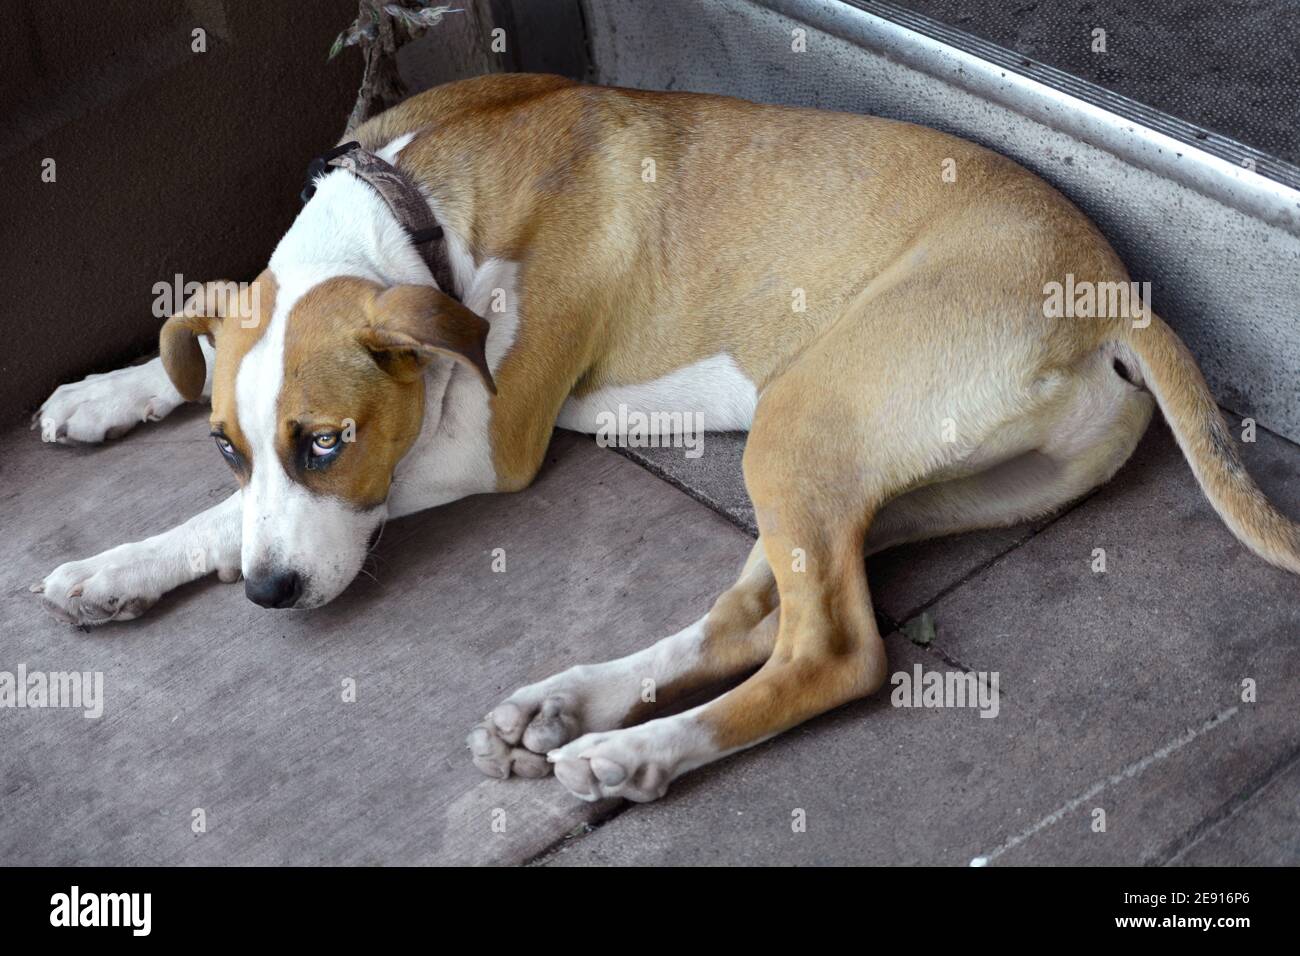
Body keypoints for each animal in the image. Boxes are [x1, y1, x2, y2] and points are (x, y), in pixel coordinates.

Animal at [32, 74, 1300, 806]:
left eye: (329, 443)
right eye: (231, 447)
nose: (272, 595)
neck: (409, 201)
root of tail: (1113, 290)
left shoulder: (490, 435)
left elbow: (273, 512)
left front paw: (128, 558)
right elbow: (193, 366)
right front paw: (105, 403)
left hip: (801, 423)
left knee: (834, 650)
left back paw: (633, 754)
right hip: (871, 467)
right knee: (759, 617)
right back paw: (572, 708)